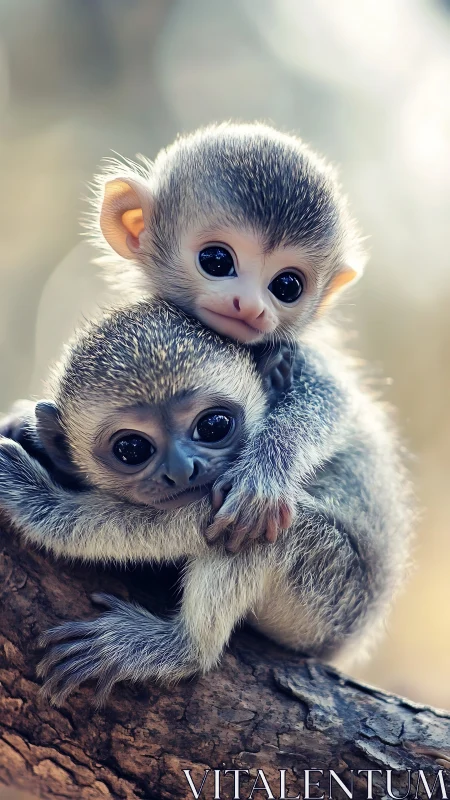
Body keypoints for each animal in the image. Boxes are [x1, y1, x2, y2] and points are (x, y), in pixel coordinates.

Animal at [0, 299, 413, 706]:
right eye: (132, 449)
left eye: (213, 426)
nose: (182, 470)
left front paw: (36, 499)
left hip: (334, 601)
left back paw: (180, 648)